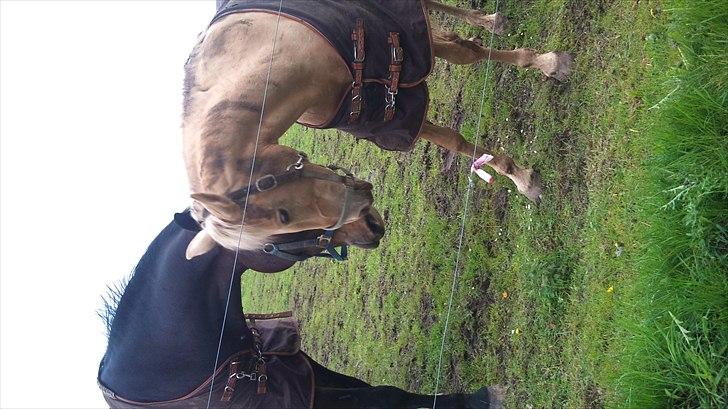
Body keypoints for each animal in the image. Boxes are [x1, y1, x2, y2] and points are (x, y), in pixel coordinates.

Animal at [183, 0, 573, 258]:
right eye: (270, 246)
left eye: (284, 216)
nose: (370, 236)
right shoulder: (386, 118)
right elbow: (455, 141)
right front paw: (519, 176)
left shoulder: (404, 46)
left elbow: (468, 54)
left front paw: (548, 63)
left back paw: (491, 21)